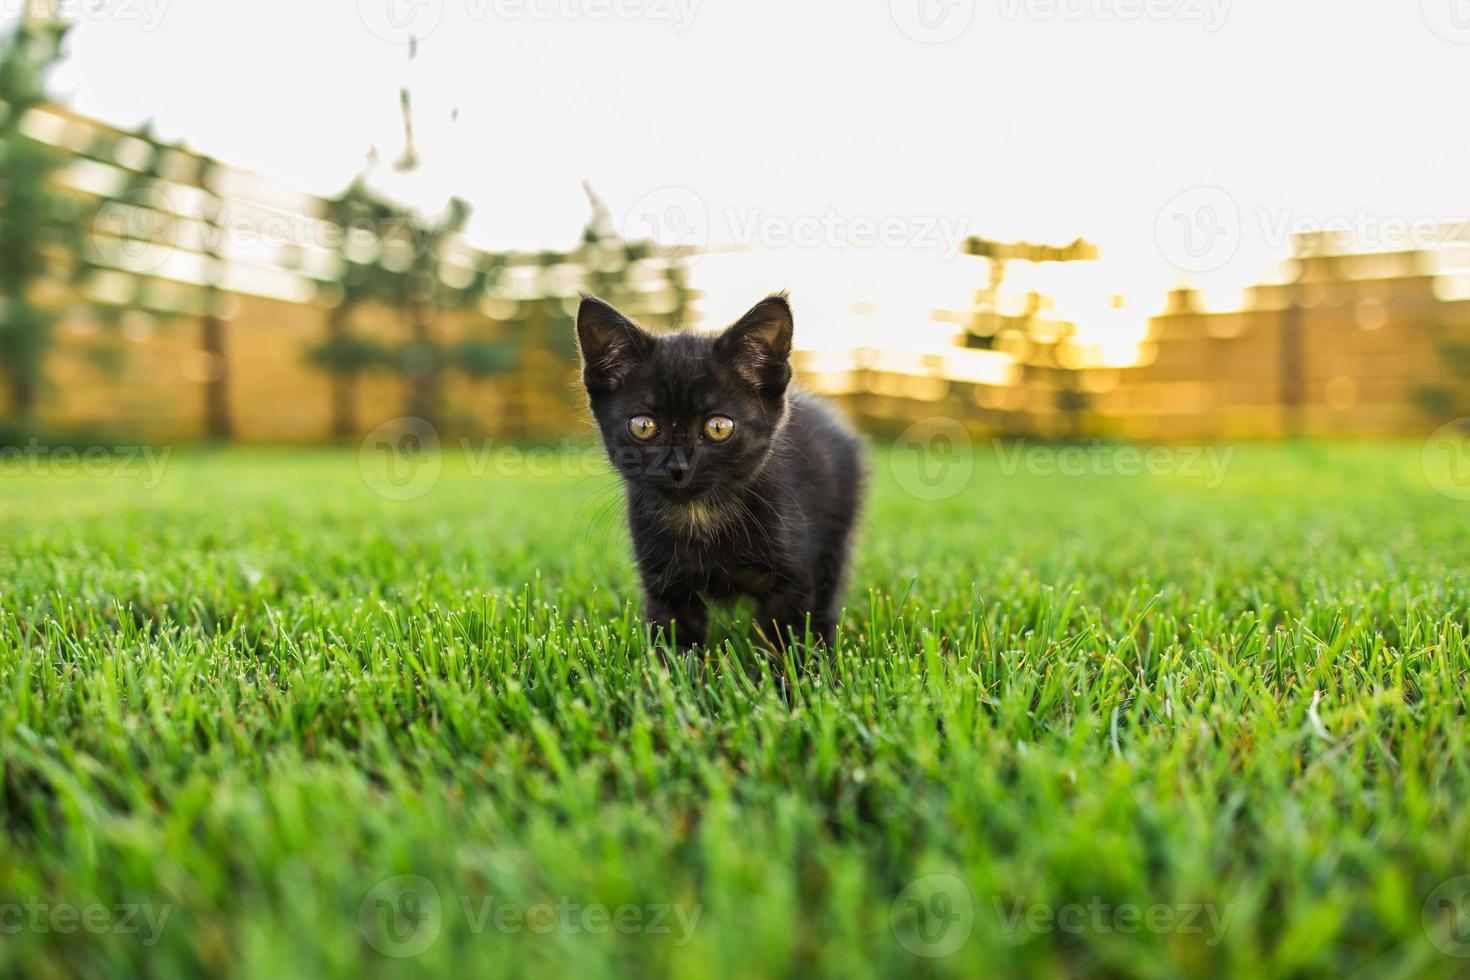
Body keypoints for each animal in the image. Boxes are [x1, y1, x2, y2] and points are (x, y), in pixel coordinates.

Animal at [579, 293, 864, 652]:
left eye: (718, 427)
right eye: (643, 426)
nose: (677, 467)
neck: (700, 516)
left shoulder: (790, 579)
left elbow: (789, 636)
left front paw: (796, 667)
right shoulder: (665, 584)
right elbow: (674, 643)